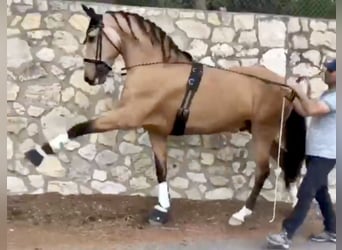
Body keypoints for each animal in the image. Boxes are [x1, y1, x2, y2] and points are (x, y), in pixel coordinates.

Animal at [25, 4, 306, 227]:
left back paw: (241, 214)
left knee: (263, 171)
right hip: (263, 131)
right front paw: (161, 210)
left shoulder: (127, 116)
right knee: (285, 161)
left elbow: (80, 127)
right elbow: (161, 170)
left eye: (93, 36)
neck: (156, 68)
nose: (90, 77)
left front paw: (37, 154)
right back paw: (295, 205)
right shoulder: (156, 130)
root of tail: (285, 85)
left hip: (262, 132)